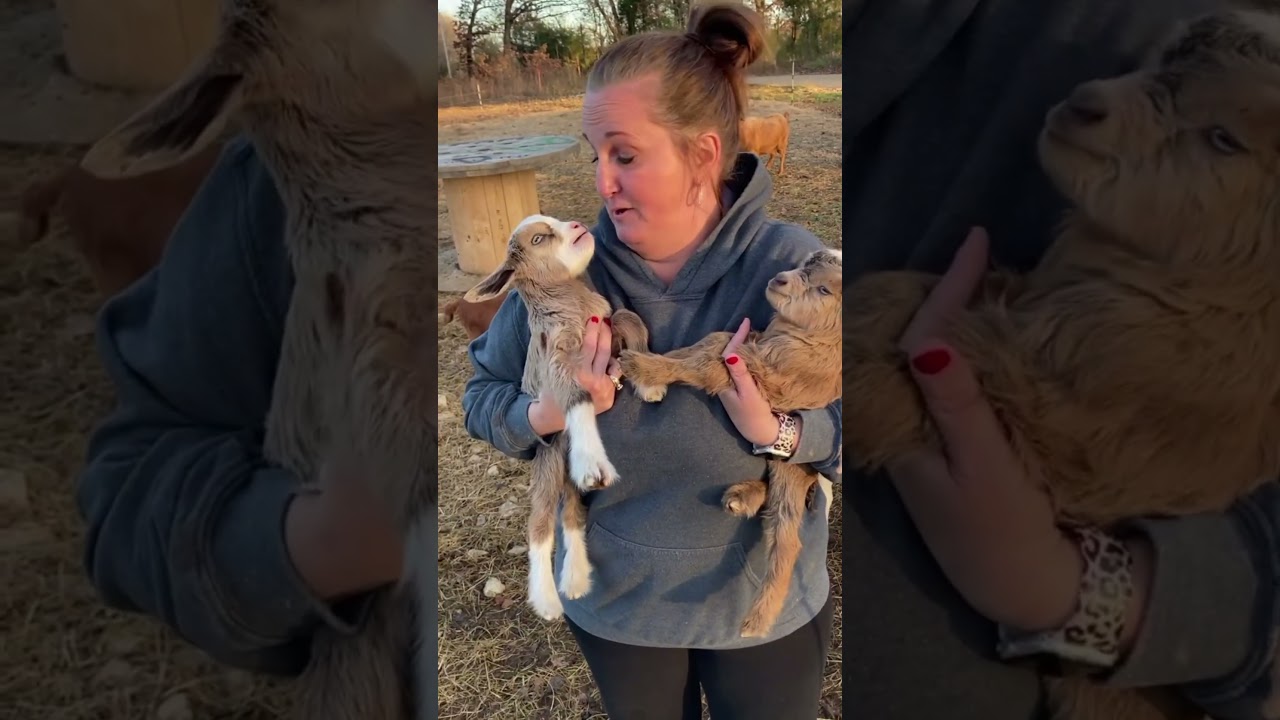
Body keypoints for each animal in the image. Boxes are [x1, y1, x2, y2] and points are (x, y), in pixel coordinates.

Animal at [463, 214, 650, 620]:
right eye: (538, 239)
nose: (578, 225)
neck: (570, 301)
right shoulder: (558, 357)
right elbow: (577, 395)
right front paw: (593, 461)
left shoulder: (606, 322)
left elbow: (628, 318)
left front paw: (647, 381)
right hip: (547, 464)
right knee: (541, 523)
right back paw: (547, 600)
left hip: (565, 477)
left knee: (572, 516)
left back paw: (576, 580)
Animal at [619, 247, 842, 637]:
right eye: (803, 265)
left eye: (825, 290)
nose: (779, 279)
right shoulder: (749, 343)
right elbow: (709, 343)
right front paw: (645, 359)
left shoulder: (759, 376)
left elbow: (704, 362)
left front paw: (643, 368)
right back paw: (743, 497)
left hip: (794, 471)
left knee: (786, 538)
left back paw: (757, 621)